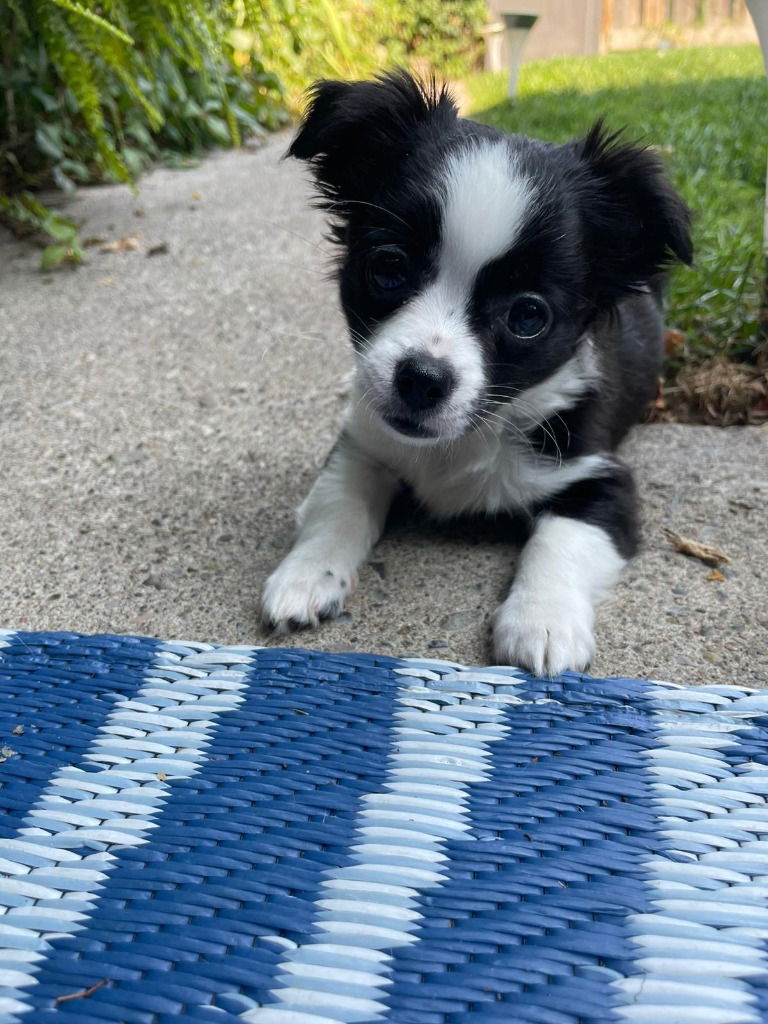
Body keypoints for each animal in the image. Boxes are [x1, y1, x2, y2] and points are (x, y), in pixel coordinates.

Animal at [264, 74, 692, 679]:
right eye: (388, 267)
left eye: (528, 316)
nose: (421, 378)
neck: (462, 441)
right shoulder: (363, 444)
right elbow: (336, 504)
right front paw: (306, 573)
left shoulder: (599, 478)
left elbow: (561, 539)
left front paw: (543, 620)